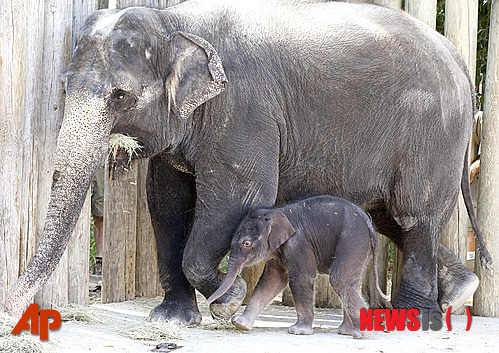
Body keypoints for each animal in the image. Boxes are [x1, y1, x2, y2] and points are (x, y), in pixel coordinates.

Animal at [205, 195, 392, 336]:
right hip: (360, 245)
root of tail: (369, 224)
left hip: (353, 239)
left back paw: (360, 333)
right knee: (351, 282)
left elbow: (301, 278)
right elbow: (272, 280)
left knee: (341, 280)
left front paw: (298, 331)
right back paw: (347, 331)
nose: (208, 304)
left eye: (246, 244)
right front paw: (240, 324)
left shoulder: (298, 243)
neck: (275, 212)